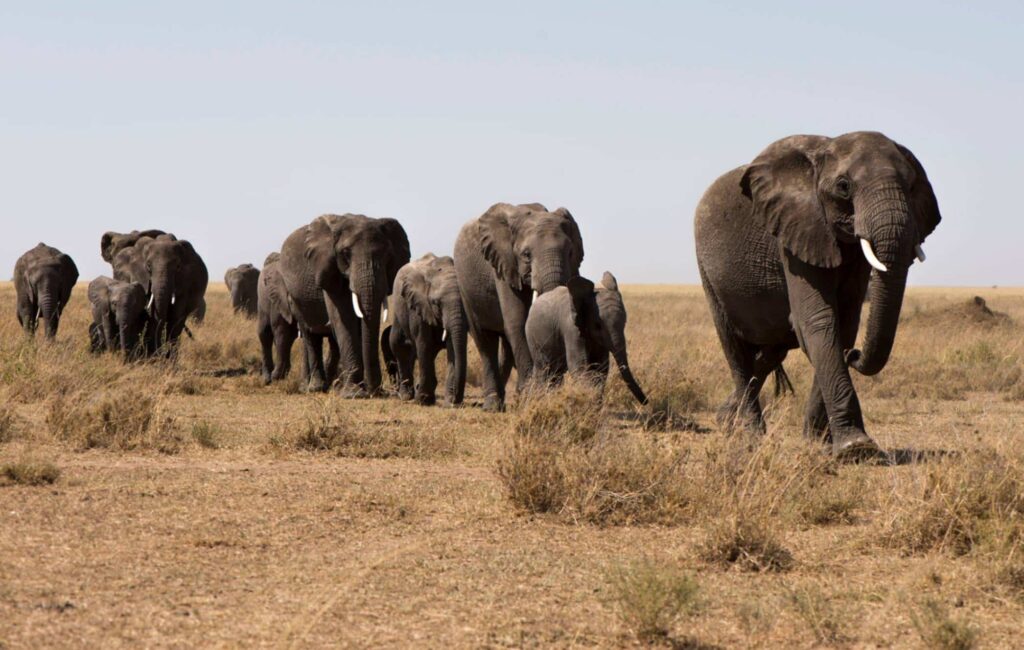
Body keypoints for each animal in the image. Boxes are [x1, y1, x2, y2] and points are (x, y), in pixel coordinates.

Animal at [279, 214, 410, 395]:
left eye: (388, 255)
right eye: (345, 253)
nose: (377, 391)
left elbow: (359, 324)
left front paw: (363, 389)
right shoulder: (329, 269)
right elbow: (344, 317)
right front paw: (354, 394)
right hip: (295, 299)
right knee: (310, 336)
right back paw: (316, 388)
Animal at [380, 253, 468, 406]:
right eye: (436, 303)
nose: (456, 400)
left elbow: (452, 348)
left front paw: (450, 402)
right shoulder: (419, 306)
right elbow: (424, 344)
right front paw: (423, 400)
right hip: (399, 309)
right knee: (400, 345)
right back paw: (407, 395)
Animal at [453, 203, 584, 411]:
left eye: (571, 252)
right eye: (526, 255)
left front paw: (541, 396)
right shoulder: (503, 264)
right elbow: (518, 321)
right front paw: (533, 396)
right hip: (465, 286)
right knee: (485, 341)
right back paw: (492, 406)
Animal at [525, 272, 647, 405]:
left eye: (625, 322)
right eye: (598, 325)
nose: (646, 401)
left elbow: (600, 367)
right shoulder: (571, 328)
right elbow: (579, 366)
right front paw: (590, 399)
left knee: (555, 373)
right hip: (533, 337)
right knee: (544, 370)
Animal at [694, 131, 941, 459]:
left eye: (912, 186)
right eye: (844, 187)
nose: (855, 355)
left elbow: (844, 324)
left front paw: (817, 441)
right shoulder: (795, 232)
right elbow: (818, 321)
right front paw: (856, 447)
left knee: (770, 354)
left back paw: (726, 421)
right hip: (707, 273)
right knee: (735, 350)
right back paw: (751, 436)